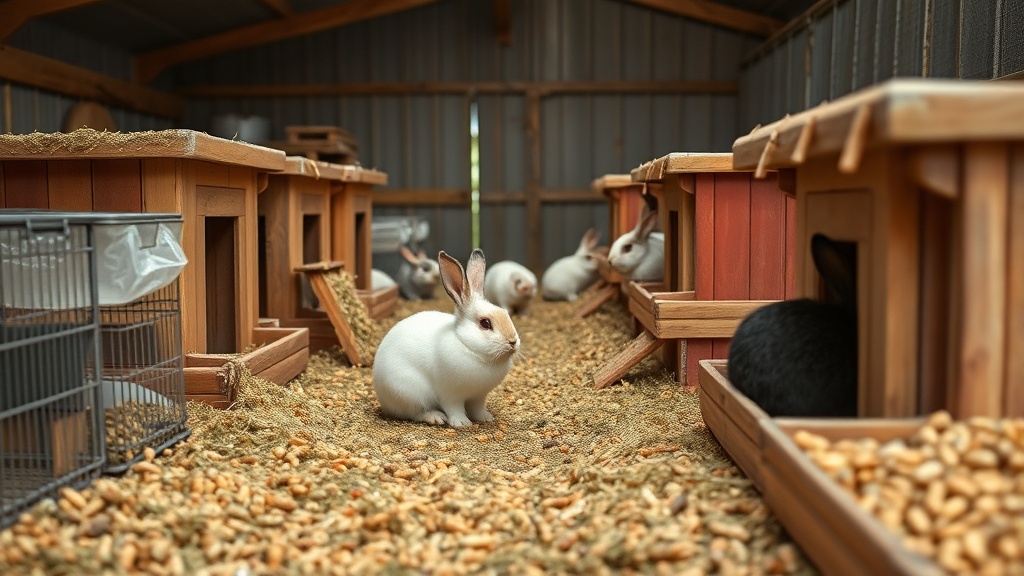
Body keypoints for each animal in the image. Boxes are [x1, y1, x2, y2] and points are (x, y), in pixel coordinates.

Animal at [372, 249, 520, 428]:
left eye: (506, 313)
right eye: (485, 323)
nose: (512, 341)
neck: (469, 348)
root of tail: (383, 400)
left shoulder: (478, 396)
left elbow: (477, 408)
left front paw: (486, 418)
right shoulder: (450, 394)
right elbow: (454, 409)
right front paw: (462, 423)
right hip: (408, 392)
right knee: (414, 413)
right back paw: (435, 417)